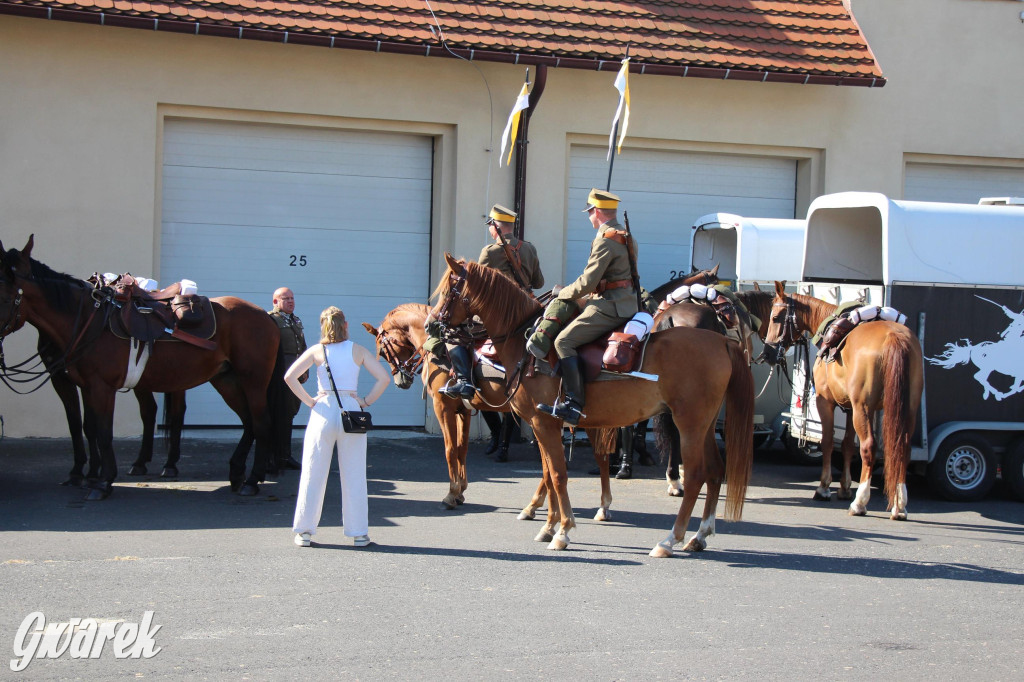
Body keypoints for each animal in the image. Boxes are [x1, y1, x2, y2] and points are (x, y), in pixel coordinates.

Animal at [0, 236, 280, 497]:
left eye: (4, 296)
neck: (88, 321)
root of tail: (265, 316)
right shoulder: (81, 385)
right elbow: (86, 427)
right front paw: (88, 475)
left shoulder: (101, 387)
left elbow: (103, 431)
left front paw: (102, 482)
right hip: (226, 380)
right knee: (247, 421)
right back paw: (236, 472)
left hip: (253, 380)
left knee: (260, 421)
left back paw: (251, 480)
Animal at [364, 301, 618, 518]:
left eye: (382, 350)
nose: (400, 380)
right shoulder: (463, 410)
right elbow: (461, 449)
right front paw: (461, 490)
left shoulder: (443, 407)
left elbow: (449, 450)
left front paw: (451, 494)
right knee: (591, 458)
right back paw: (592, 506)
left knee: (574, 460)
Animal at [428, 251, 757, 557]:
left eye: (449, 290)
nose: (433, 324)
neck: (525, 342)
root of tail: (721, 342)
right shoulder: (543, 424)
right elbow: (550, 472)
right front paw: (550, 526)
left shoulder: (543, 423)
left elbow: (557, 475)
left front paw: (563, 530)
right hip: (704, 425)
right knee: (715, 470)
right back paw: (698, 535)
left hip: (689, 423)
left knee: (697, 475)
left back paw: (669, 540)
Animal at [761, 280, 929, 516]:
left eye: (776, 317)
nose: (767, 352)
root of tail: (894, 337)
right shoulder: (850, 407)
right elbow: (848, 444)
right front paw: (845, 487)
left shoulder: (826, 402)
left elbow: (828, 441)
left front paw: (824, 488)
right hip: (907, 409)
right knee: (902, 447)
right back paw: (899, 505)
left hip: (864, 408)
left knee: (868, 447)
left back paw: (860, 502)